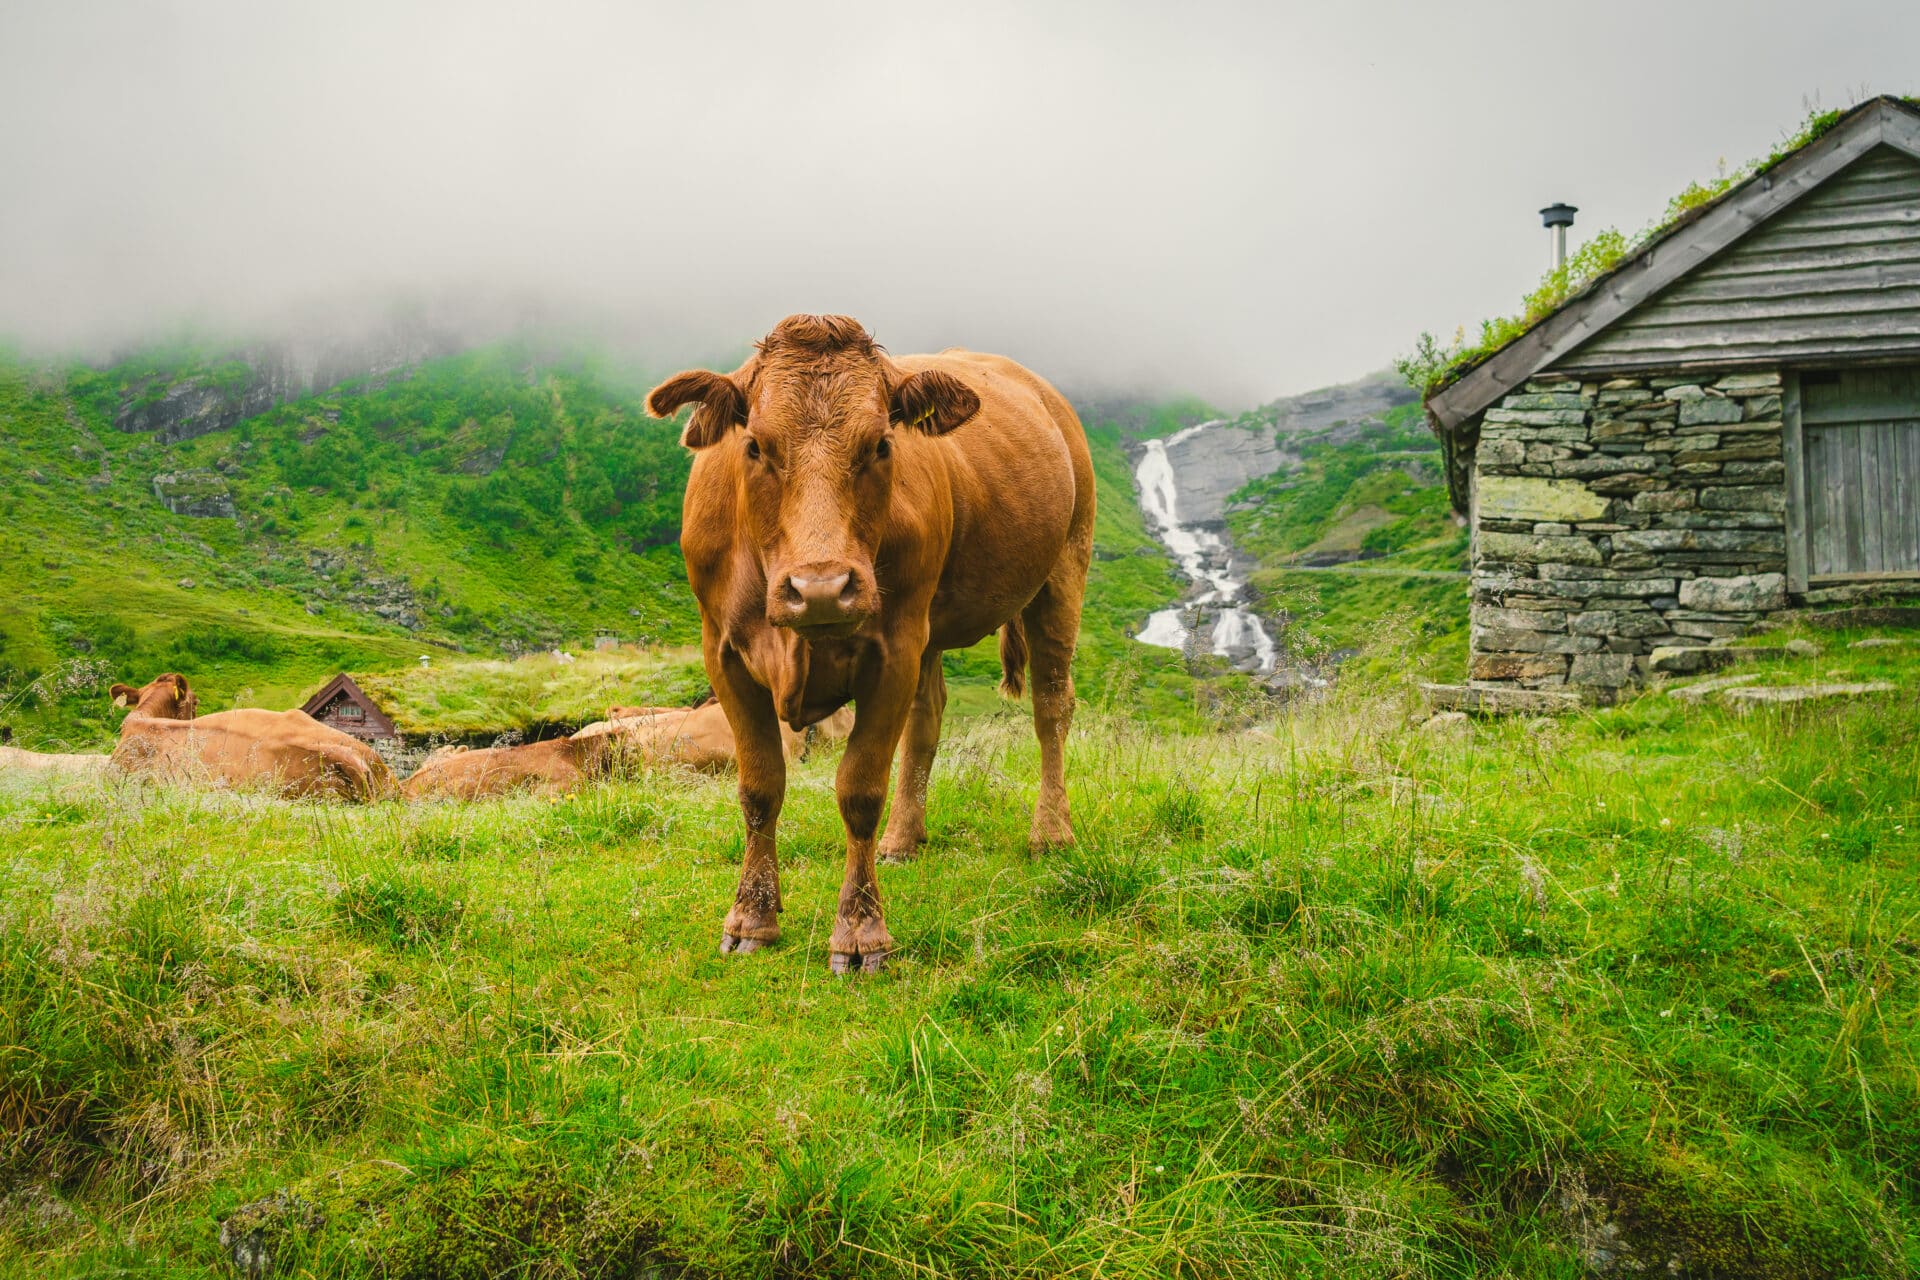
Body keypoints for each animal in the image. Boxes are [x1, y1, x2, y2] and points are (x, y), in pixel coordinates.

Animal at [648, 314, 1090, 974]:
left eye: (880, 445)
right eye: (754, 446)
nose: (822, 590)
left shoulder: (894, 649)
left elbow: (859, 790)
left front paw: (860, 934)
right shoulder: (723, 654)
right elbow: (759, 788)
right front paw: (752, 917)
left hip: (1063, 571)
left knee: (1051, 706)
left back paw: (1051, 832)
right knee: (928, 719)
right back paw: (903, 839)